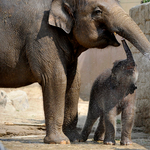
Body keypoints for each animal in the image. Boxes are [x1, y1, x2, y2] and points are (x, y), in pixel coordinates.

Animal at [0, 0, 149, 144]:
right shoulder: (41, 33)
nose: (122, 40)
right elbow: (56, 77)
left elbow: (74, 80)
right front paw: (60, 142)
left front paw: (74, 139)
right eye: (98, 11)